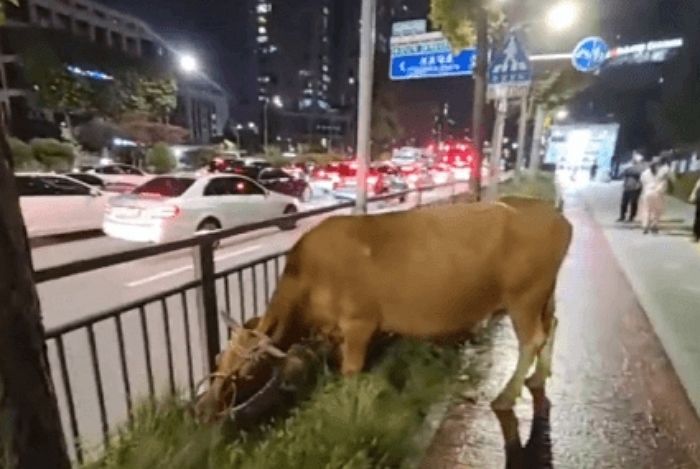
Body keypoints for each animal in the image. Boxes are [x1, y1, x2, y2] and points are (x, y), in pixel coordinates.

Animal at [200, 197, 572, 414]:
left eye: (245, 370)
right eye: (218, 358)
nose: (205, 407)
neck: (310, 276)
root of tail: (555, 216)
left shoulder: (359, 323)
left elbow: (351, 371)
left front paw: (346, 406)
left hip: (523, 297)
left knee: (531, 340)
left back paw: (507, 396)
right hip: (545, 293)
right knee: (552, 325)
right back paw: (539, 376)